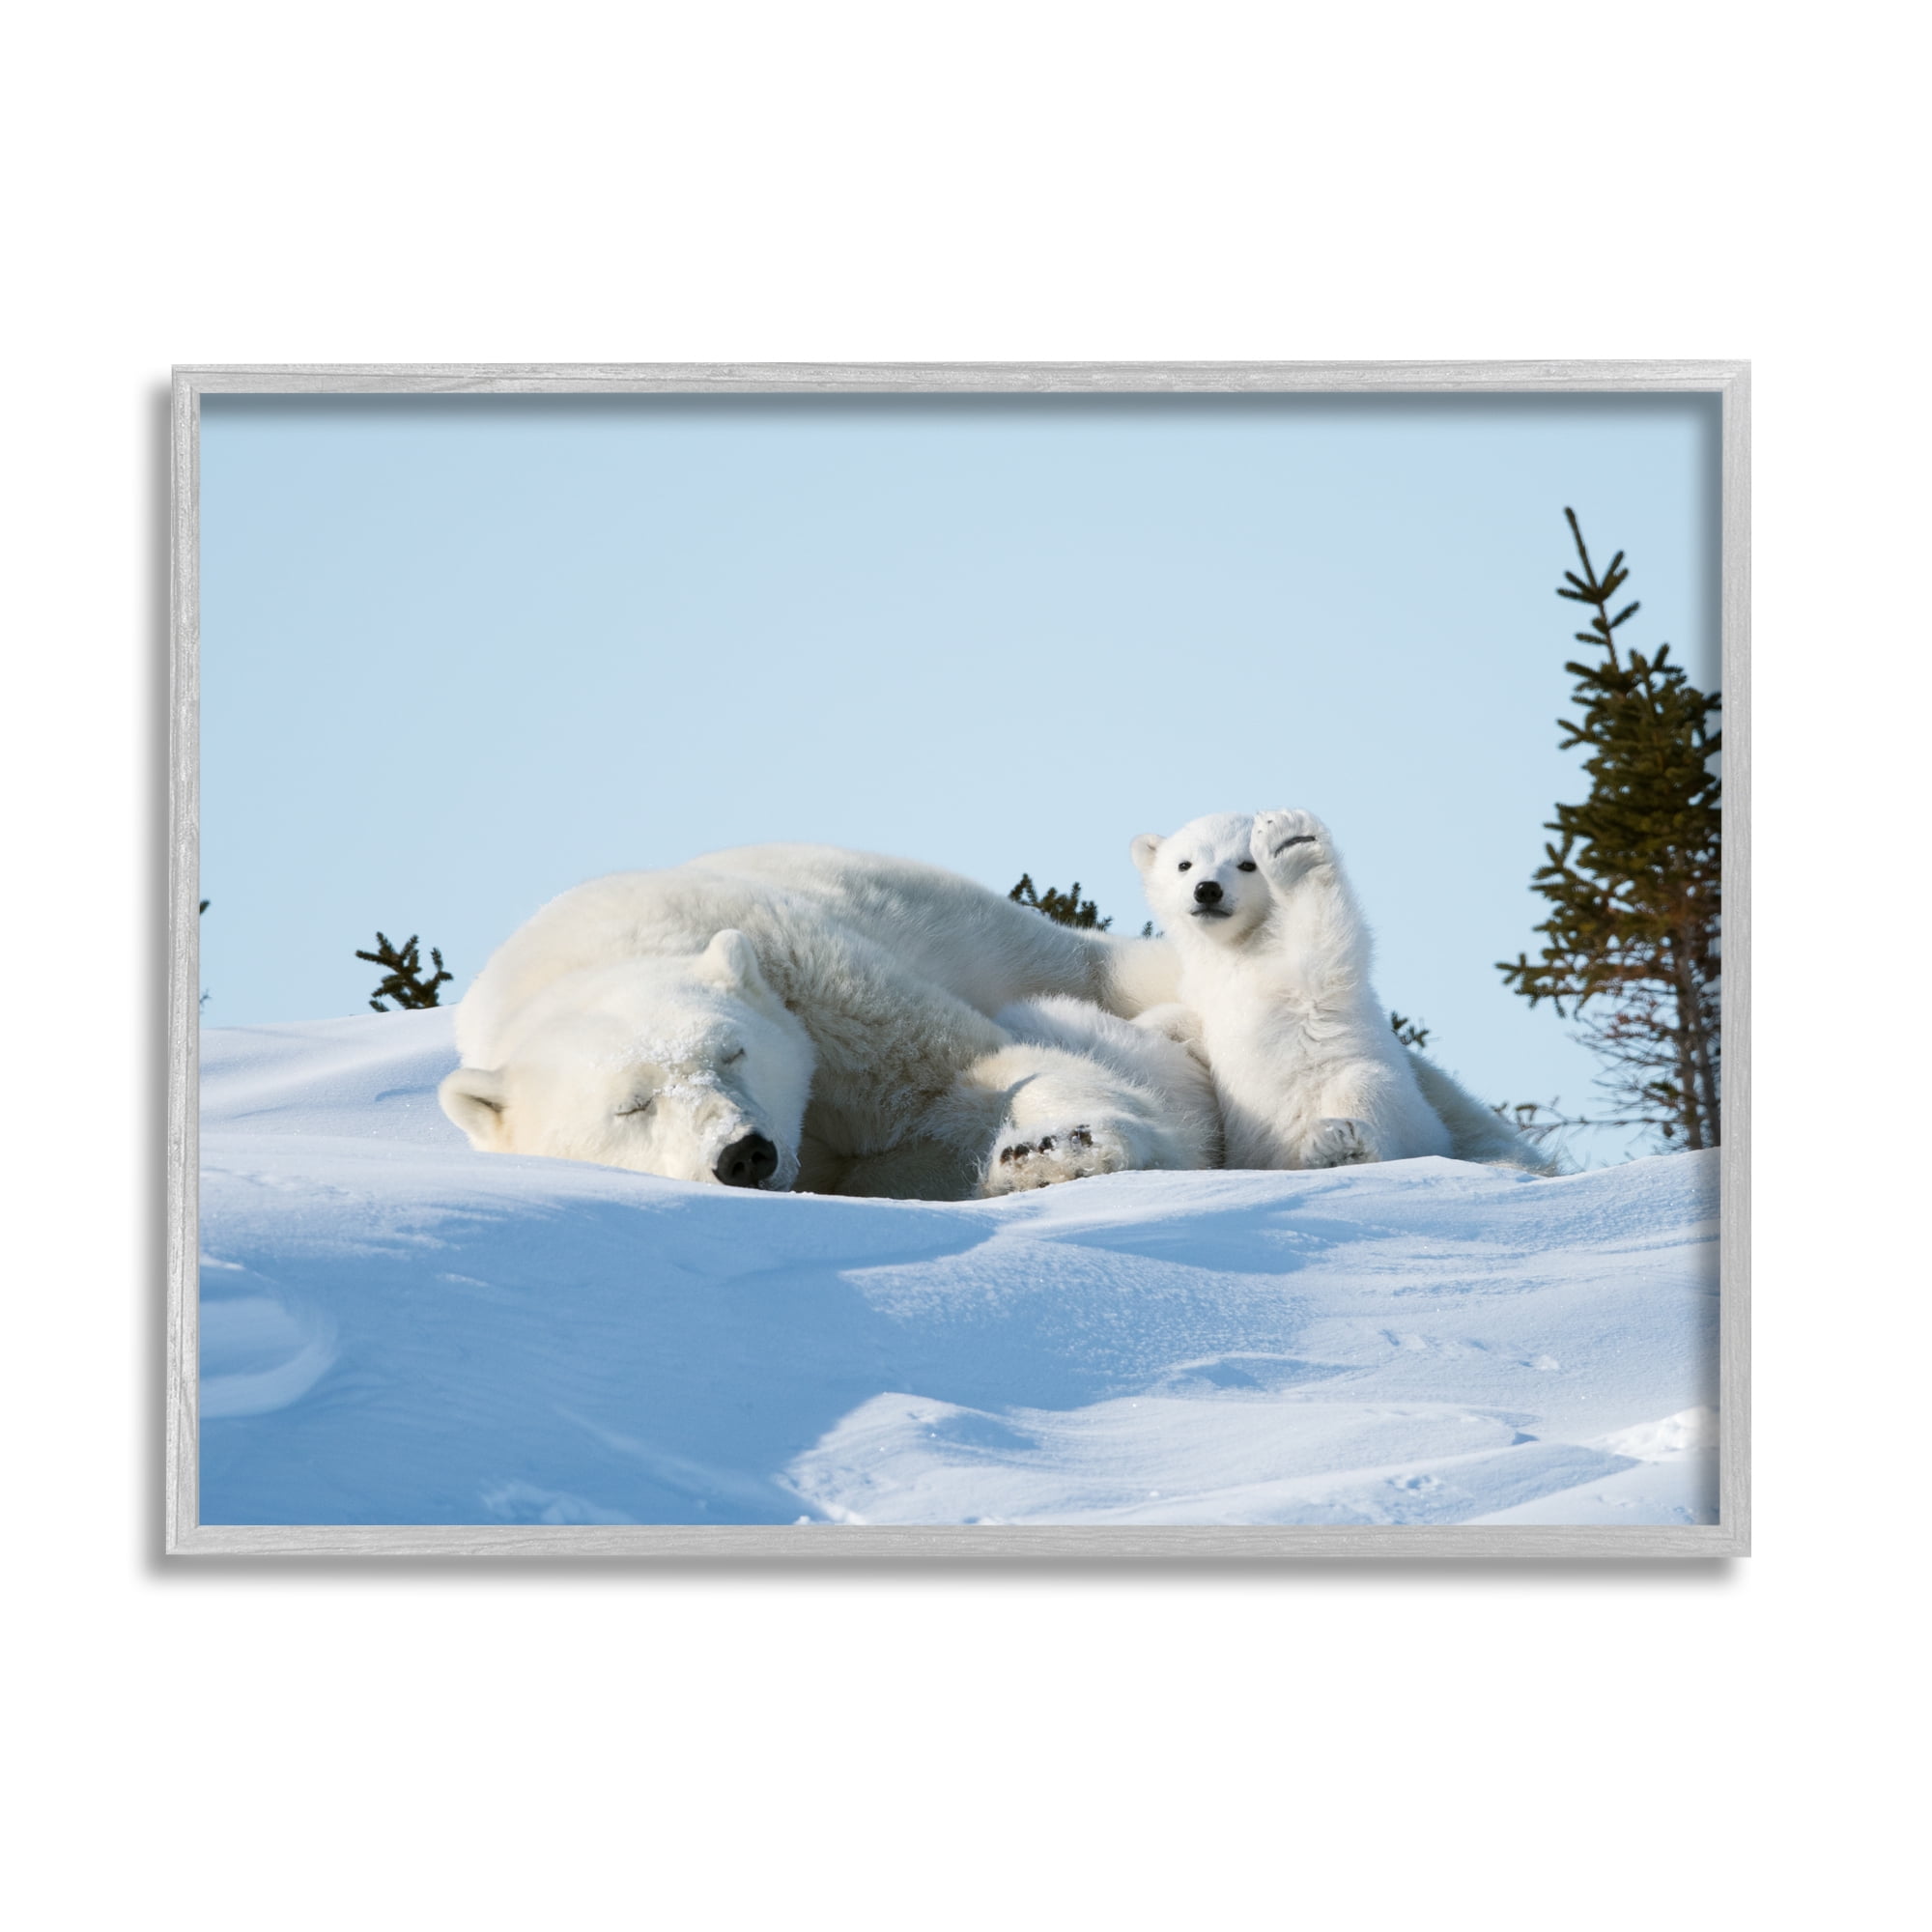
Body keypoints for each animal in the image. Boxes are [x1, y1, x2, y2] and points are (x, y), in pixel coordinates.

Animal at [438, 843, 1213, 1200]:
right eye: (632, 1106)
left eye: (733, 1052)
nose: (743, 1155)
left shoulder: (810, 979)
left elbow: (966, 1070)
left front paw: (1058, 1149)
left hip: (1016, 940)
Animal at [1132, 809, 1553, 1174]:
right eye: (1184, 864)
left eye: (1246, 864)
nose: (1207, 890)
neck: (1238, 949)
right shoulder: (1204, 991)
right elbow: (1188, 1022)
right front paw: (1147, 1028)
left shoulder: (1298, 974)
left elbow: (1323, 942)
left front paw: (1291, 845)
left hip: (1397, 1108)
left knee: (1367, 1091)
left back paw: (1341, 1145)